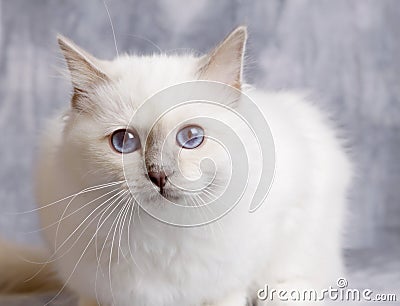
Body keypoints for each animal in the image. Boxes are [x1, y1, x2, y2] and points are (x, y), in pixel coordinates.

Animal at [0, 26, 352, 306]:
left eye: (191, 138)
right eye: (123, 142)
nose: (159, 175)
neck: (163, 235)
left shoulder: (226, 287)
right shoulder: (98, 293)